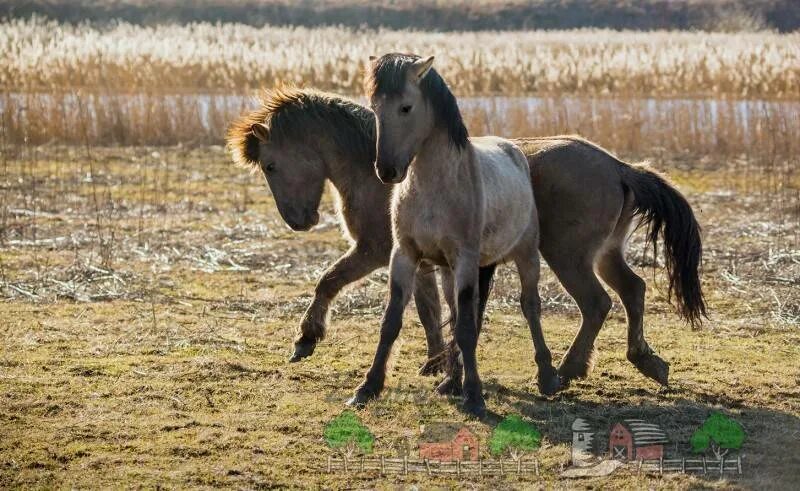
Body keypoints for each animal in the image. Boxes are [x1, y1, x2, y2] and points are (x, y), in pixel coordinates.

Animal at [227, 83, 708, 396]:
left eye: (270, 165)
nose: (299, 221)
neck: (381, 168)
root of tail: (619, 167)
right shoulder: (420, 259)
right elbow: (429, 311)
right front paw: (438, 363)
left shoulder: (374, 251)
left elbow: (328, 281)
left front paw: (306, 338)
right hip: (604, 255)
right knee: (633, 290)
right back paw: (645, 360)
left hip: (567, 256)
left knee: (597, 303)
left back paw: (568, 370)